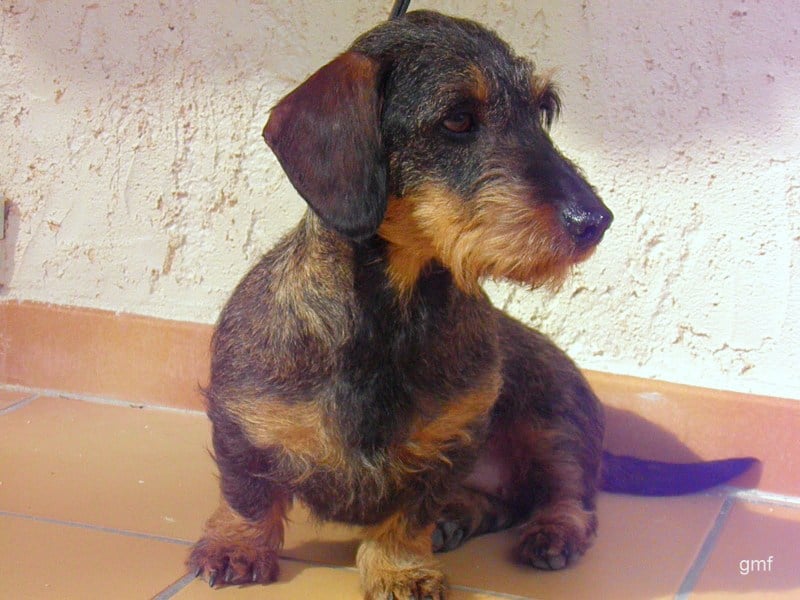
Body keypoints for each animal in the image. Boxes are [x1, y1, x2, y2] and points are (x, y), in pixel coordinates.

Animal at [188, 10, 756, 599]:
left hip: (555, 418)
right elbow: (247, 493)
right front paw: (238, 546)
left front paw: (400, 568)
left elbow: (409, 516)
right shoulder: (240, 420)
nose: (595, 220)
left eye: (543, 109)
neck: (393, 313)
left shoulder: (452, 441)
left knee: (568, 495)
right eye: (458, 118)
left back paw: (551, 532)